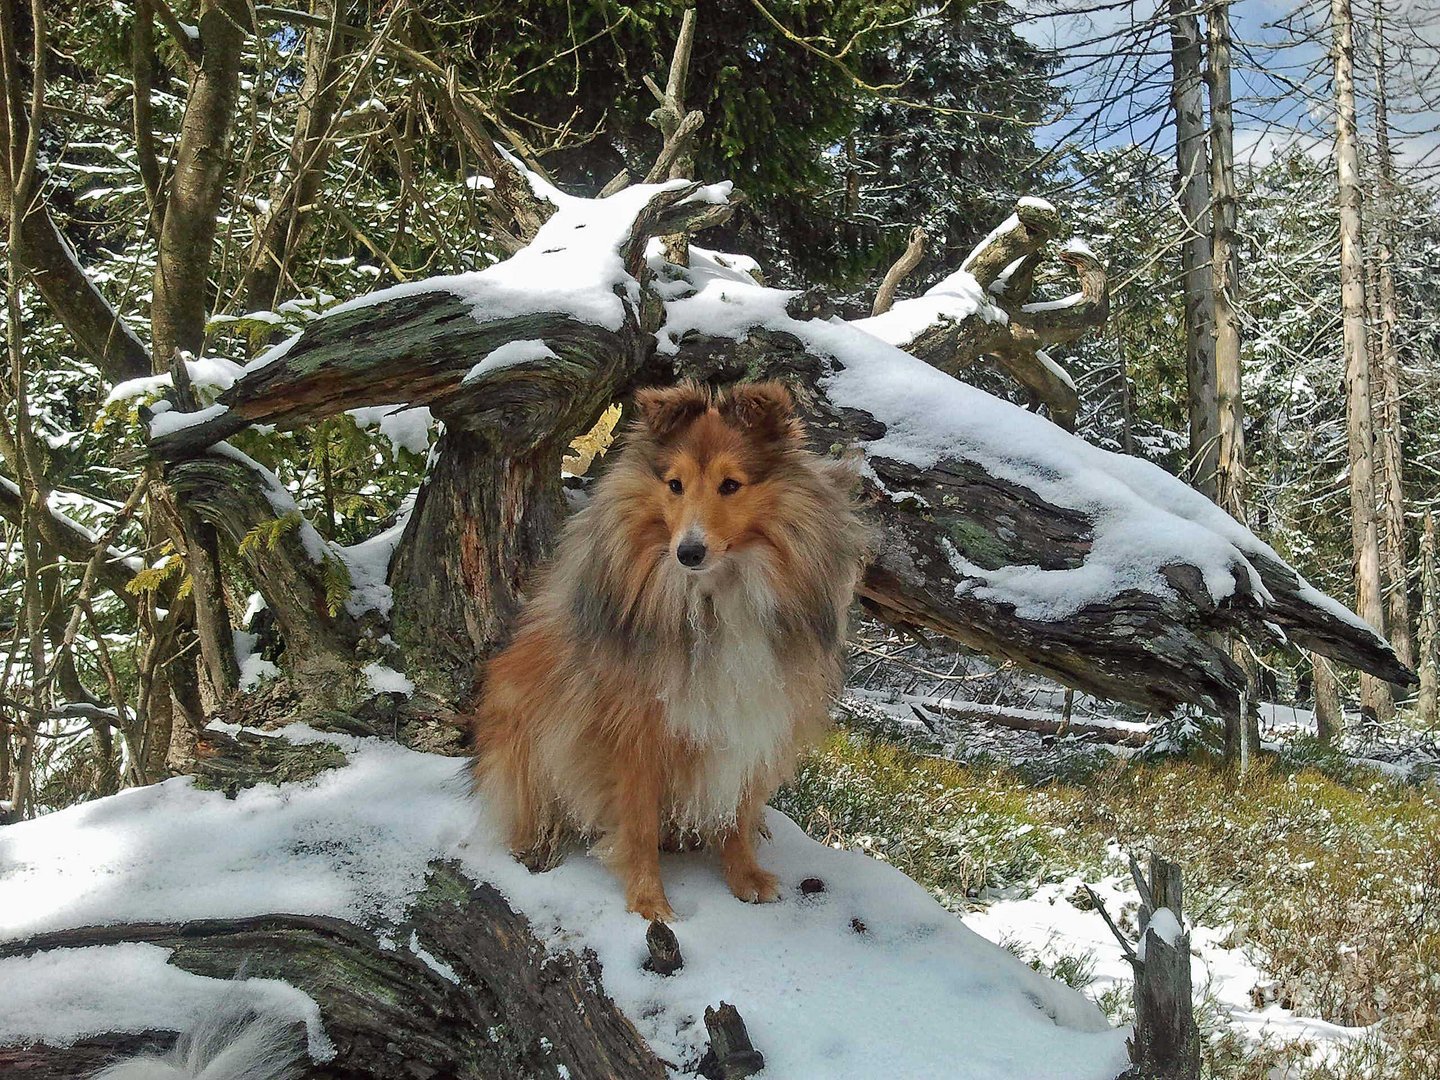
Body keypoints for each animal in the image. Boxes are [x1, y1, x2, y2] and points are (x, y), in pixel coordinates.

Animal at [472, 380, 864, 921]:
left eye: (730, 485)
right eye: (675, 485)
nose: (688, 553)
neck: (714, 598)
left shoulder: (754, 718)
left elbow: (738, 809)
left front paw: (744, 876)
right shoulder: (633, 732)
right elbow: (636, 825)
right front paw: (648, 903)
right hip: (522, 725)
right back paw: (537, 846)